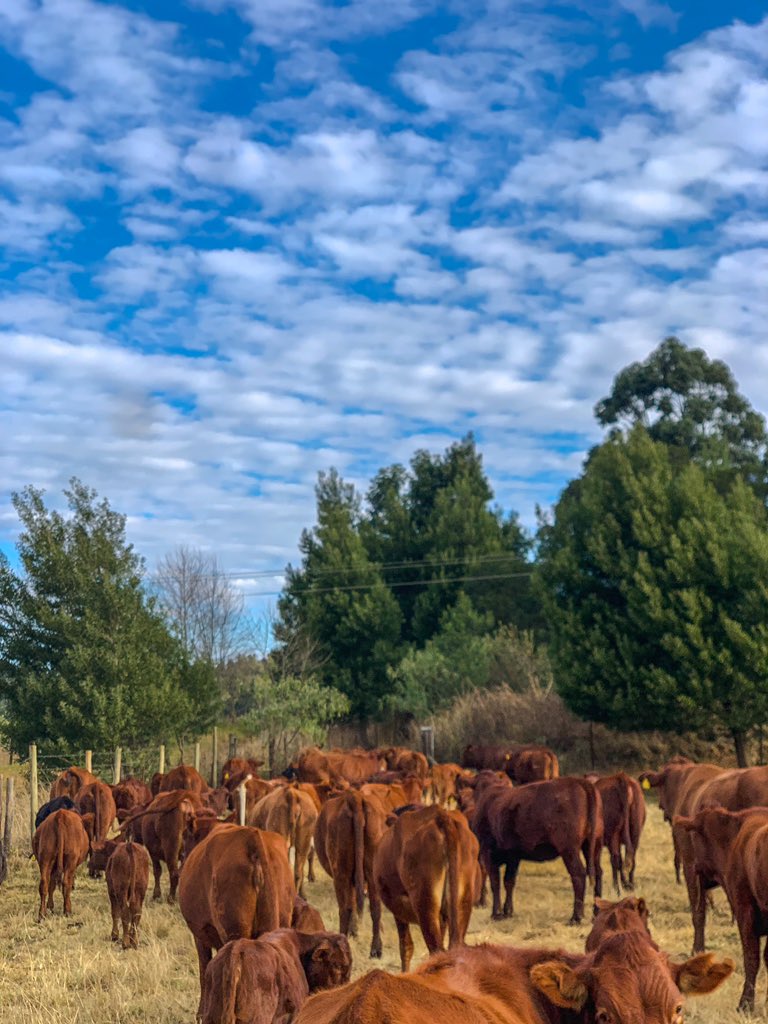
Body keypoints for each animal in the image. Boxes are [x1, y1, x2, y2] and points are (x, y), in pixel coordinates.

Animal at [313, 786, 387, 954]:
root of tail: (355, 797)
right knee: (375, 907)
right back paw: (376, 949)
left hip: (341, 873)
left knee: (344, 908)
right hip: (372, 874)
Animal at [473, 770, 606, 925]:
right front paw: (508, 912)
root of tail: (580, 782)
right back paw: (596, 913)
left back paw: (575, 917)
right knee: (598, 872)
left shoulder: (488, 853)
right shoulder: (513, 856)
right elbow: (509, 881)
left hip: (569, 849)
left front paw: (496, 914)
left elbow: (495, 882)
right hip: (594, 845)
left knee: (579, 874)